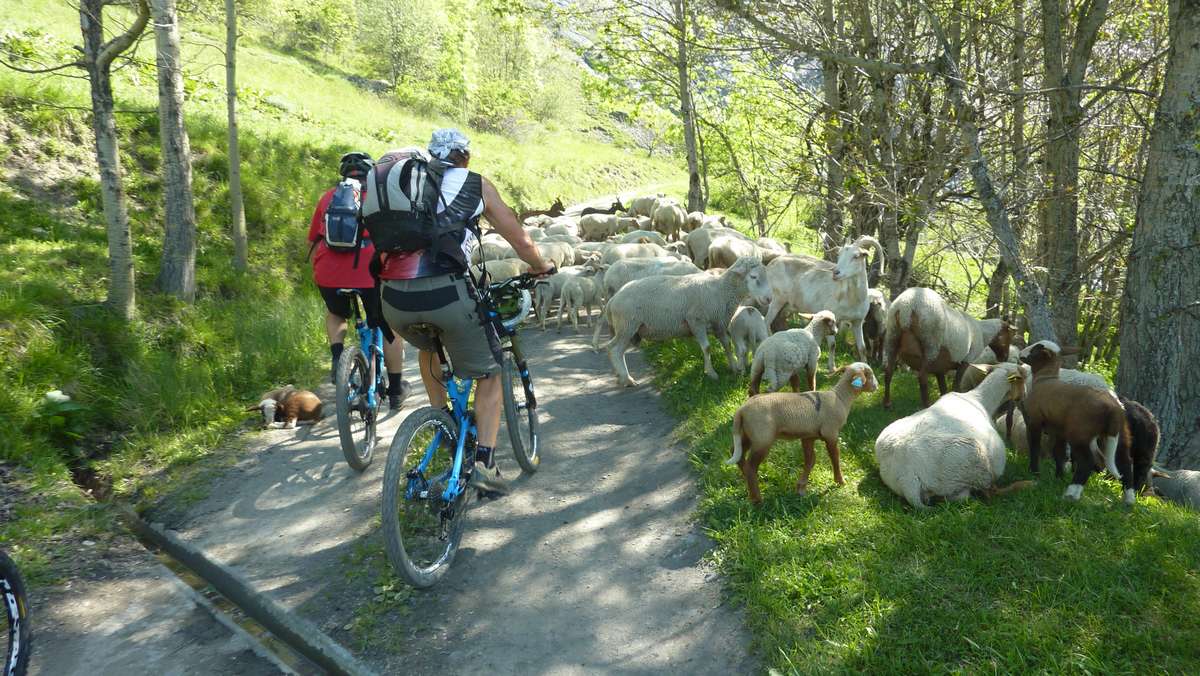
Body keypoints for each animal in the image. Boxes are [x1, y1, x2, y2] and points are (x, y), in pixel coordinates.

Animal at [597, 256, 768, 389]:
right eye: (753, 277)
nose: (768, 299)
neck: (719, 290)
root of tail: (613, 299)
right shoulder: (696, 321)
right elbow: (707, 348)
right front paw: (711, 373)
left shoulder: (719, 323)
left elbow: (727, 344)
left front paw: (734, 367)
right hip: (627, 325)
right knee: (613, 349)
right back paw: (627, 379)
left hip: (628, 329)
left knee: (617, 351)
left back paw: (620, 376)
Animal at [724, 365, 878, 501]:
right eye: (869, 374)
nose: (877, 386)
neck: (840, 397)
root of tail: (742, 410)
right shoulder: (831, 433)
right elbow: (835, 457)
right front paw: (840, 481)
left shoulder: (808, 436)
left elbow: (810, 460)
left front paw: (801, 488)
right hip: (762, 439)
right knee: (751, 467)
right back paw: (757, 499)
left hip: (748, 435)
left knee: (736, 453)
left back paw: (747, 481)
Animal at [873, 365, 1032, 509]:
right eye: (1023, 377)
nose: (1024, 396)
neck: (980, 400)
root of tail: (907, 477)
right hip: (976, 467)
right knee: (987, 493)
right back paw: (1025, 484)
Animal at [878, 285, 1017, 408]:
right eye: (1010, 336)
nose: (1004, 358)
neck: (983, 334)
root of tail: (906, 306)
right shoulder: (965, 361)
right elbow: (956, 386)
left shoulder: (940, 367)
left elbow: (943, 387)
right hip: (931, 346)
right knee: (922, 377)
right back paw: (926, 405)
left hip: (892, 337)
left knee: (888, 371)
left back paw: (887, 404)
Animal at [1022, 341, 1132, 504]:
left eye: (1036, 348)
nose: (1021, 354)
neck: (1045, 378)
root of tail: (1114, 406)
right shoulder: (1059, 430)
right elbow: (1059, 453)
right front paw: (1059, 477)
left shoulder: (1034, 421)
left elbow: (1035, 447)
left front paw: (1034, 473)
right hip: (1115, 435)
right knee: (1125, 461)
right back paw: (1128, 498)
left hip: (1080, 434)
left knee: (1088, 461)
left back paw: (1071, 494)